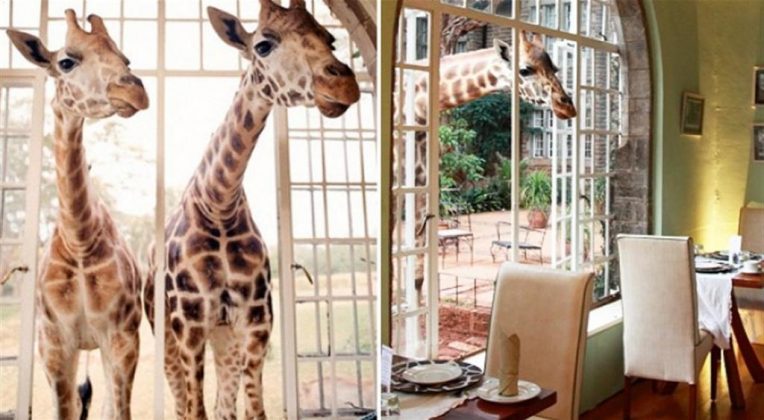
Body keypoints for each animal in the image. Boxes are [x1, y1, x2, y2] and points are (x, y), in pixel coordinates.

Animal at [6, 9, 148, 420]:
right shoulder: (53, 345)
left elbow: (120, 411)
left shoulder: (122, 337)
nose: (134, 91)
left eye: (125, 58)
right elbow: (64, 411)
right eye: (66, 62)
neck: (80, 240)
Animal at [142, 1, 359, 418]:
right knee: (181, 402)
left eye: (329, 38)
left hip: (224, 335)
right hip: (165, 332)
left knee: (223, 406)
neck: (219, 205)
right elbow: (195, 410)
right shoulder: (189, 325)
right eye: (263, 45)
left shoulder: (256, 323)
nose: (344, 85)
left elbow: (250, 410)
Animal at [394, 31, 577, 317]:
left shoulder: (418, 180)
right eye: (525, 69)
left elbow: (417, 277)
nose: (566, 106)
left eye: (555, 68)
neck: (417, 104)